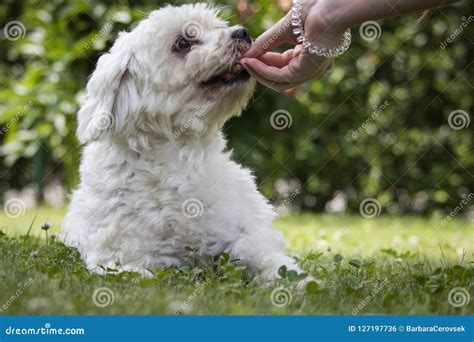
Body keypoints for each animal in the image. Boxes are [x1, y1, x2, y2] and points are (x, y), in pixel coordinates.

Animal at [62, 3, 304, 280]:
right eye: (183, 42)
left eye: (216, 25)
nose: (242, 32)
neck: (179, 154)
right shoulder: (117, 252)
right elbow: (132, 272)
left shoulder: (245, 231)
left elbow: (267, 256)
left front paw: (295, 280)